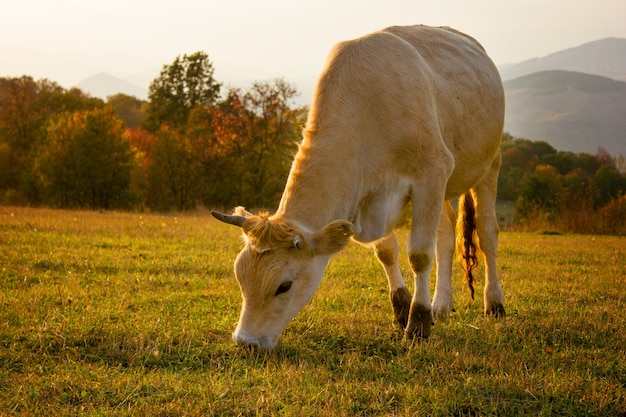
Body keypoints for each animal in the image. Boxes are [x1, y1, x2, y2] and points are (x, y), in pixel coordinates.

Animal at [212, 24, 504, 350]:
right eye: (240, 277)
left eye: (283, 286)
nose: (245, 341)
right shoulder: (372, 193)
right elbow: (387, 252)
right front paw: (402, 308)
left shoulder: (431, 170)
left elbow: (419, 254)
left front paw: (418, 323)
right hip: (445, 186)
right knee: (445, 236)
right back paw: (441, 305)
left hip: (488, 164)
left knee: (486, 234)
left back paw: (494, 304)